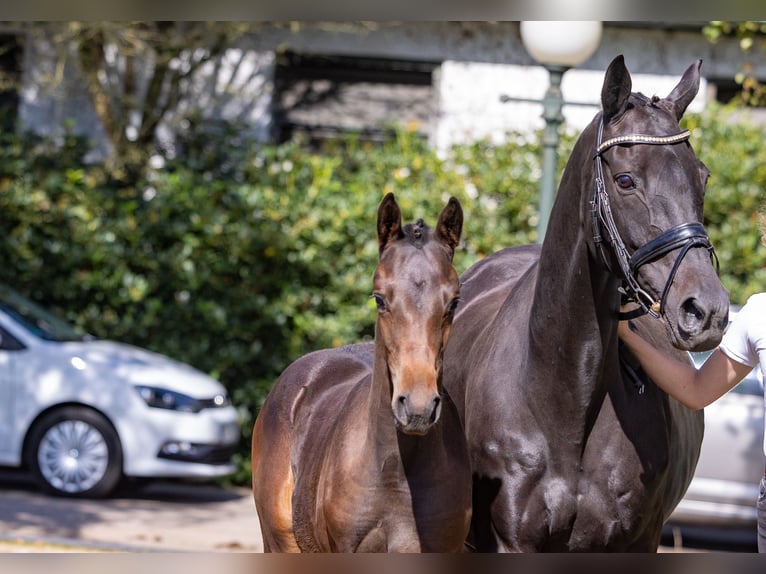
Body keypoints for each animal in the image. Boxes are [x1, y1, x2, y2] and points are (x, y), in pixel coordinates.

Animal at [440, 55, 728, 552]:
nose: (706, 310)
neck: (562, 400)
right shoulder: (510, 543)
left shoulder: (636, 541)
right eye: (626, 180)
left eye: (702, 177)